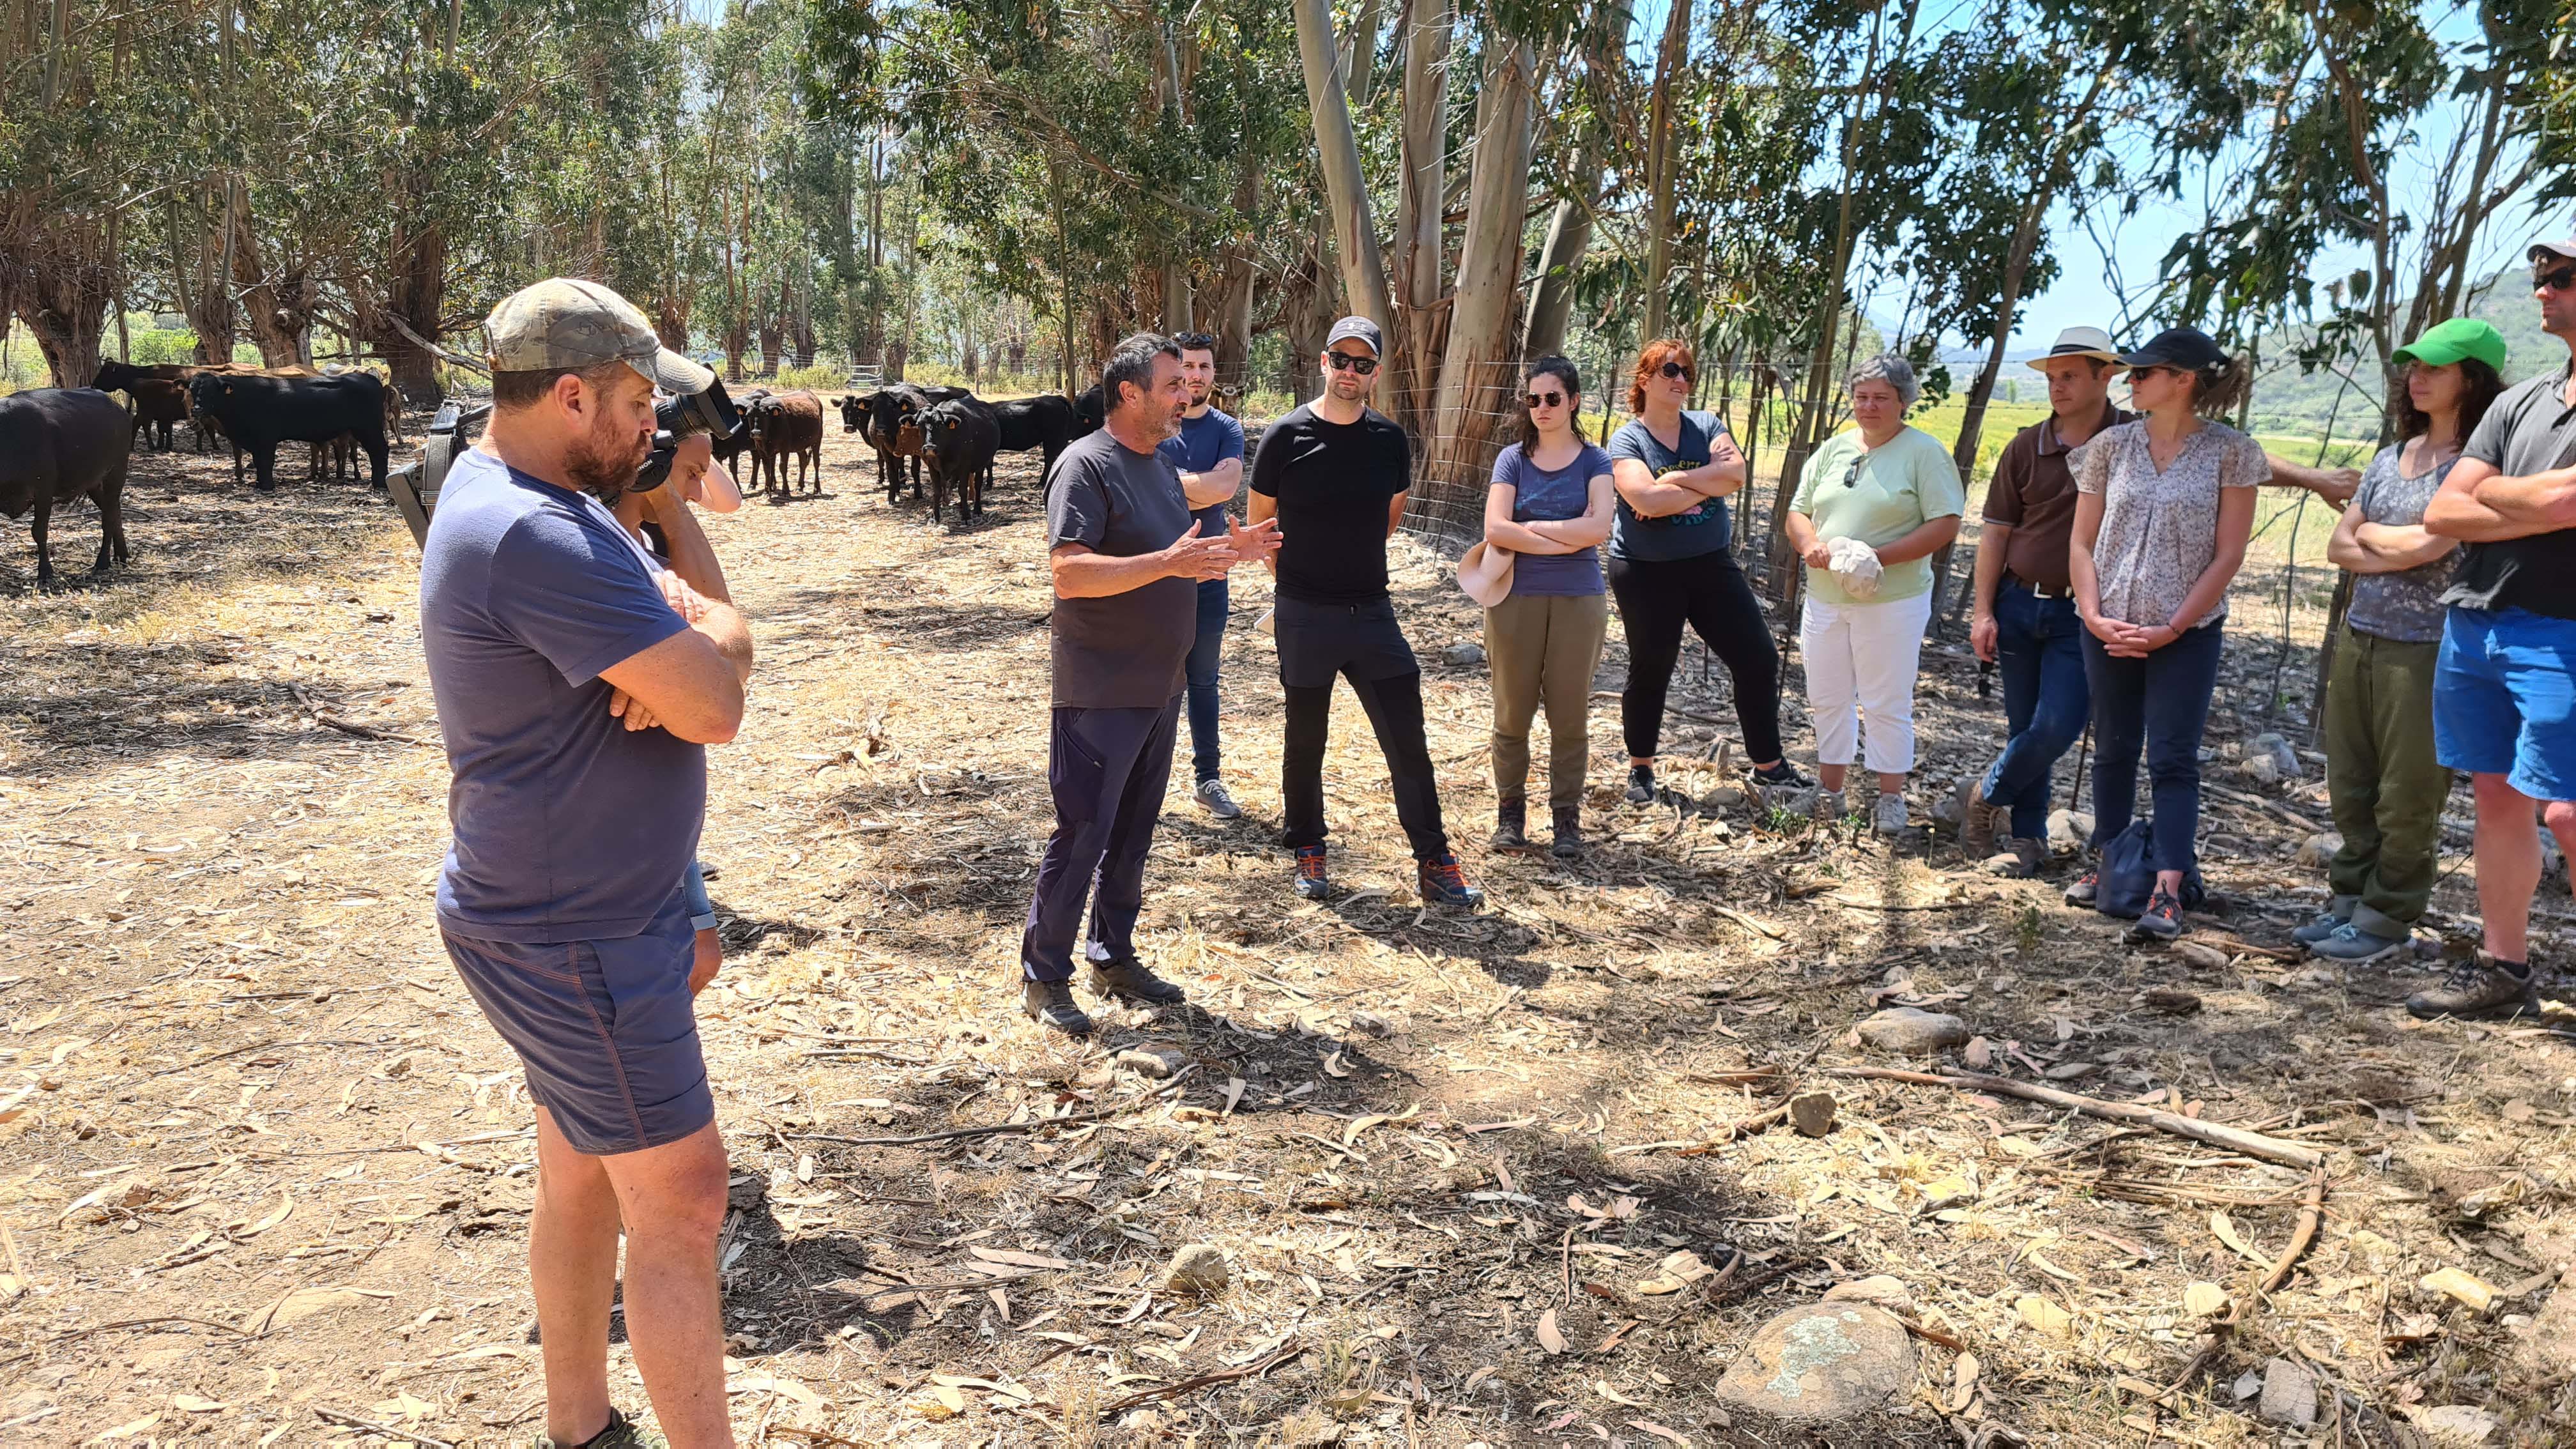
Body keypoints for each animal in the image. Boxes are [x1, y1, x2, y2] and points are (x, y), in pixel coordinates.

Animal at [0, 389, 131, 588]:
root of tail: (119, 410)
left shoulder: (43, 491)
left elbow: (39, 532)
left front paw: (45, 572)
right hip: (94, 483)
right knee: (115, 511)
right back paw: (121, 554)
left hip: (116, 473)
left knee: (108, 518)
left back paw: (102, 562)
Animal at [185, 366, 386, 489]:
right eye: (192, 390)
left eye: (212, 391)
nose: (197, 409)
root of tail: (369, 378)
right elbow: (258, 461)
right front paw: (259, 483)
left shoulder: (266, 438)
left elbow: (266, 462)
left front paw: (267, 486)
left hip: (369, 429)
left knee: (379, 451)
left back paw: (380, 482)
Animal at [917, 394, 994, 523]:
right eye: (919, 424)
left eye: (940, 424)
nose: (929, 448)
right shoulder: (932, 466)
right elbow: (937, 491)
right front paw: (934, 517)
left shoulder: (964, 466)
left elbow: (962, 490)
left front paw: (967, 517)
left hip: (981, 464)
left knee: (977, 485)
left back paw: (977, 510)